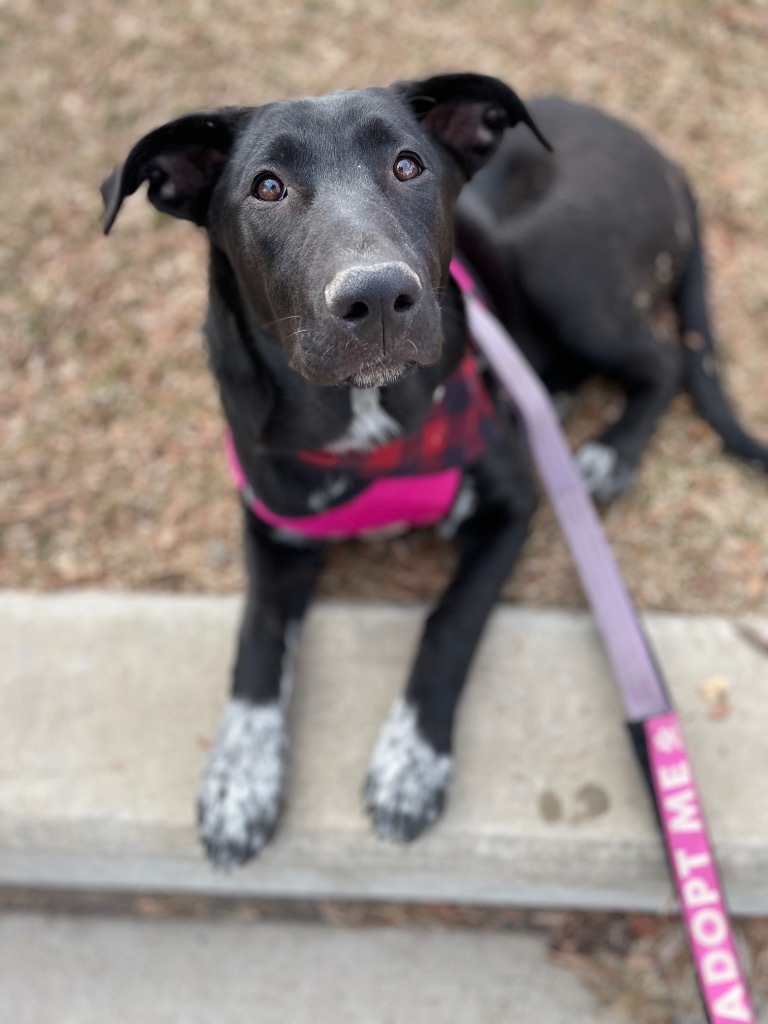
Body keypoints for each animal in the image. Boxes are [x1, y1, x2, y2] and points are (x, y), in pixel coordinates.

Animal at [103, 75, 768, 868]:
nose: (378, 296)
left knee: (664, 361)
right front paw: (240, 780)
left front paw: (410, 765)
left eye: (407, 166)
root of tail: (662, 157)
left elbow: (449, 623)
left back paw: (606, 452)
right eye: (266, 187)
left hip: (557, 266)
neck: (367, 425)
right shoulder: (272, 524)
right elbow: (258, 640)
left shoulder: (512, 506)